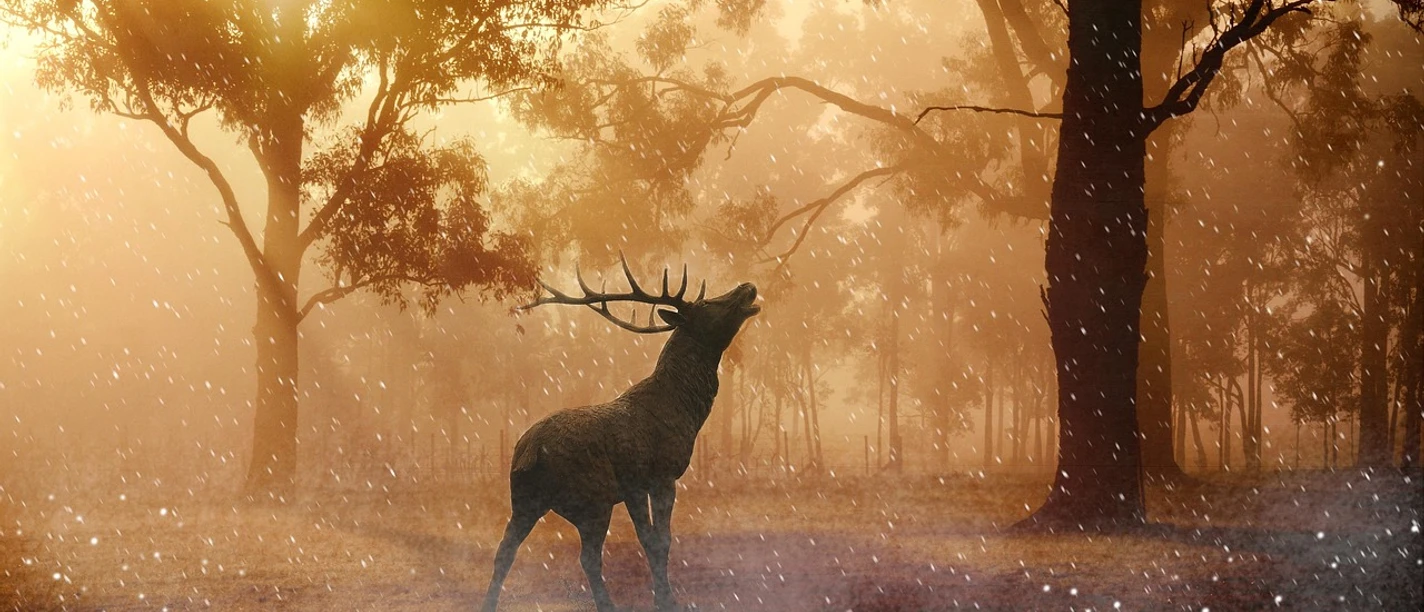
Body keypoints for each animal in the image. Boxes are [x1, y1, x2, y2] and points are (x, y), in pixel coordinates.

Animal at [481, 255, 760, 612]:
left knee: (504, 550)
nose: (748, 286)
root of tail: (529, 454)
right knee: (588, 557)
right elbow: (660, 540)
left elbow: (650, 539)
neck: (685, 411)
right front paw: (667, 601)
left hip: (523, 499)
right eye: (708, 303)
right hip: (592, 499)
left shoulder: (633, 487)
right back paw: (608, 605)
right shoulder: (658, 474)